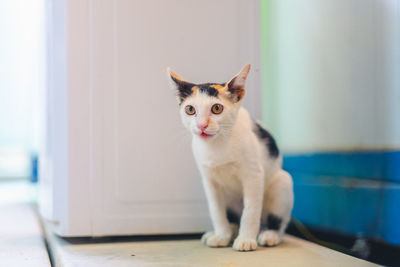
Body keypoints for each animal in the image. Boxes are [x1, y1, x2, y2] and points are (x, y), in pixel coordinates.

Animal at [167, 63, 292, 252]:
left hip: (282, 182)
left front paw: (246, 239)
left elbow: (251, 210)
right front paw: (221, 235)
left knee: (278, 222)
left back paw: (269, 234)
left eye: (217, 108)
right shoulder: (209, 181)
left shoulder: (254, 175)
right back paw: (229, 231)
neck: (217, 145)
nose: (202, 125)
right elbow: (216, 211)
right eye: (190, 110)